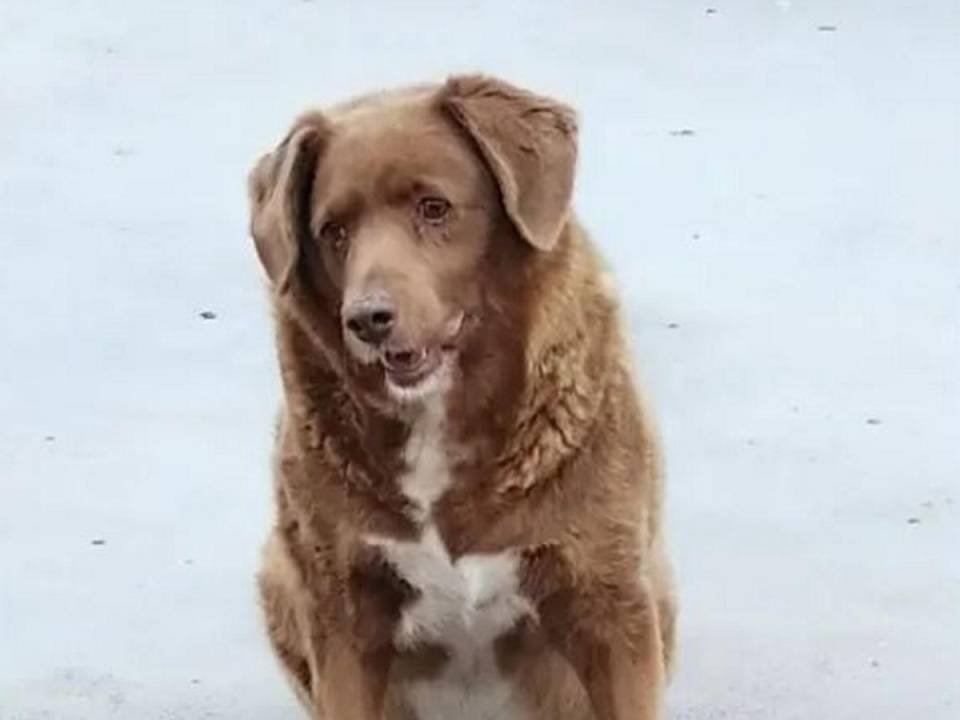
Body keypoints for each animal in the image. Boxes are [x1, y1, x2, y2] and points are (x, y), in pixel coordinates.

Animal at [251, 76, 680, 716]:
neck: (437, 419)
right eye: (334, 232)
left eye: (434, 208)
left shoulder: (609, 599)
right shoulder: (343, 615)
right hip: (280, 576)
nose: (367, 319)